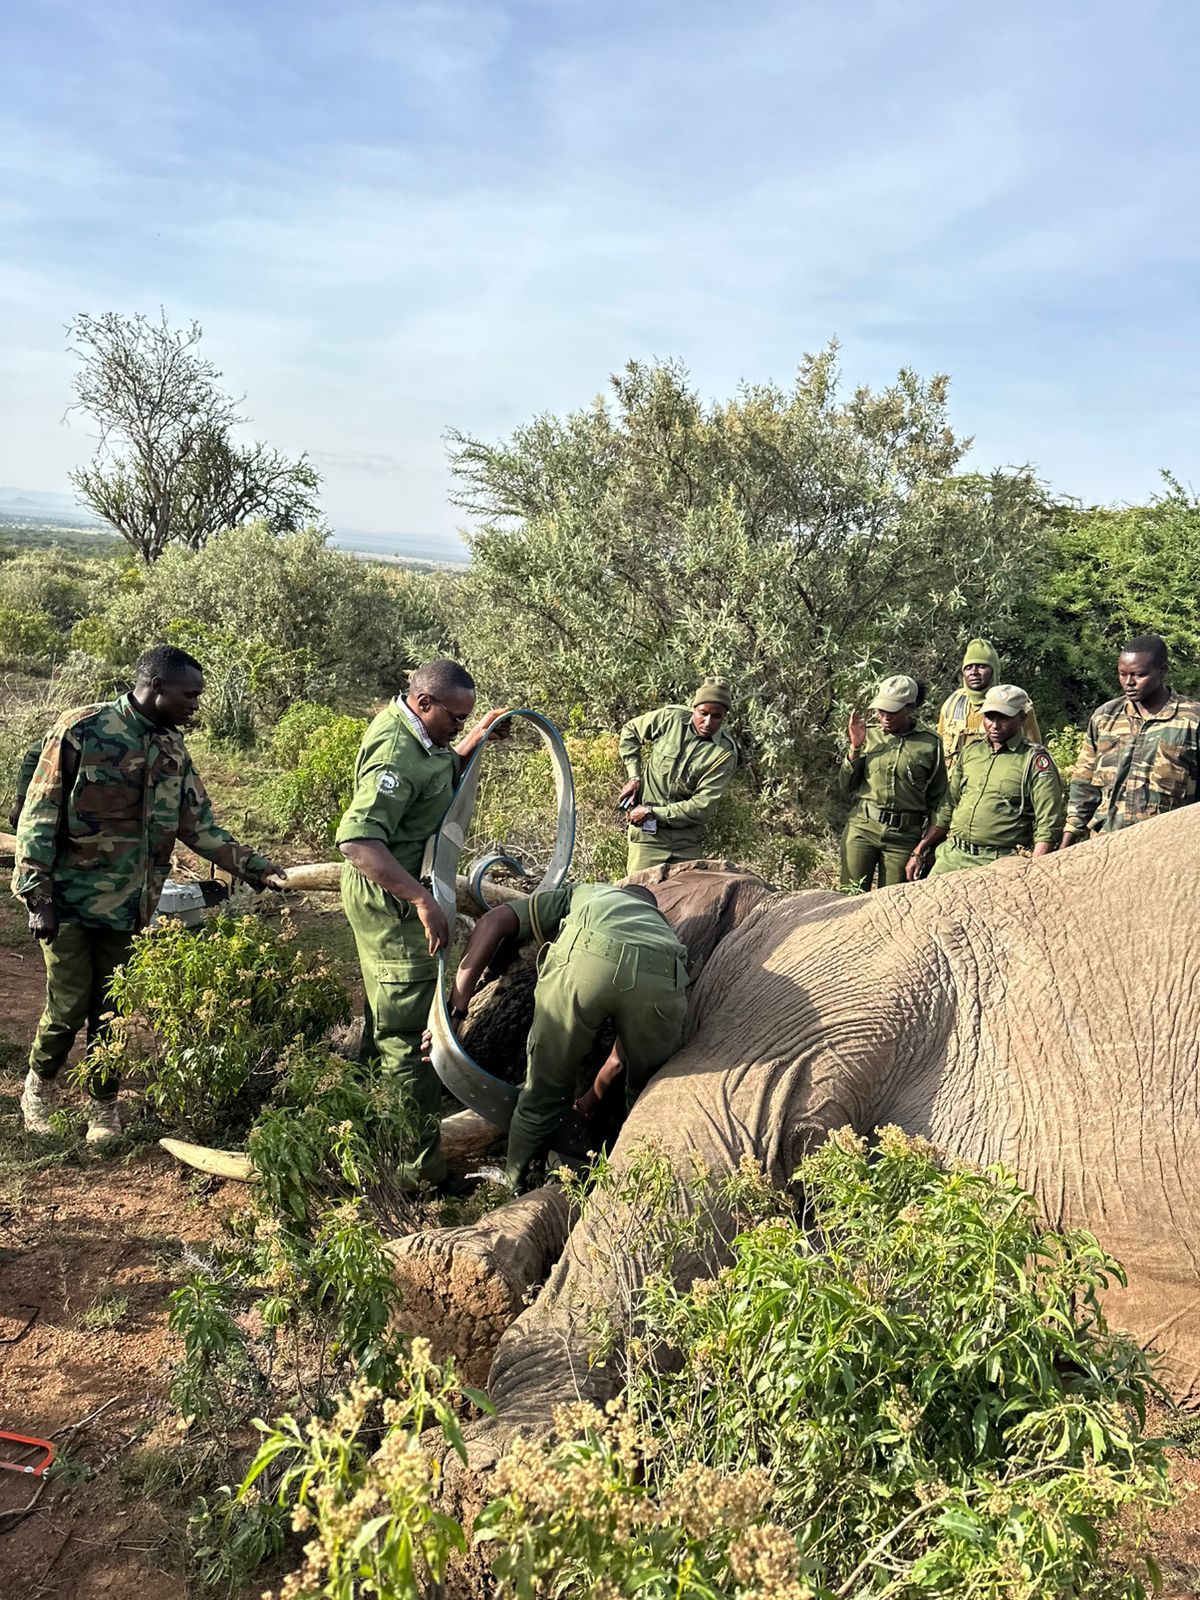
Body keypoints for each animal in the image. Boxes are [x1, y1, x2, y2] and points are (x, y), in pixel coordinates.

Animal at [394, 810, 1200, 1464]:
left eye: (526, 970)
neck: (766, 902)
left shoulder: (801, 1001)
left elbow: (681, 1148)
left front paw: (480, 1459)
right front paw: (445, 1278)